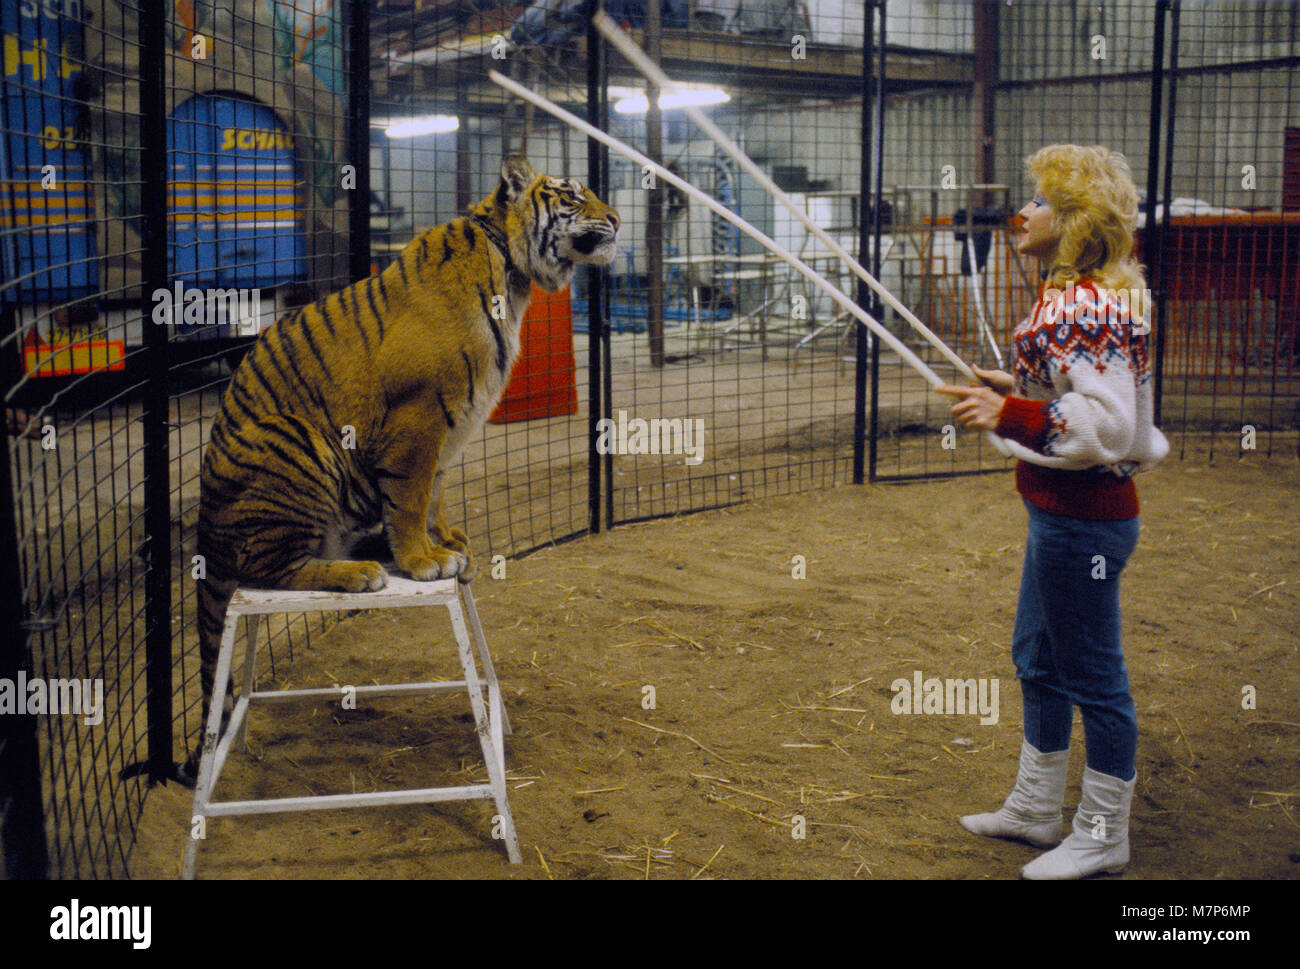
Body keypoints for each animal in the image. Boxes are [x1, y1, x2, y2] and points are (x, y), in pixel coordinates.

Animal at [178, 154, 618, 780]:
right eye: (574, 197)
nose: (619, 219)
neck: (511, 272)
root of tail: (206, 523)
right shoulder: (419, 416)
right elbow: (410, 495)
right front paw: (423, 560)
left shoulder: (448, 426)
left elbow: (434, 490)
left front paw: (446, 541)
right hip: (298, 442)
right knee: (269, 566)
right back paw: (359, 572)